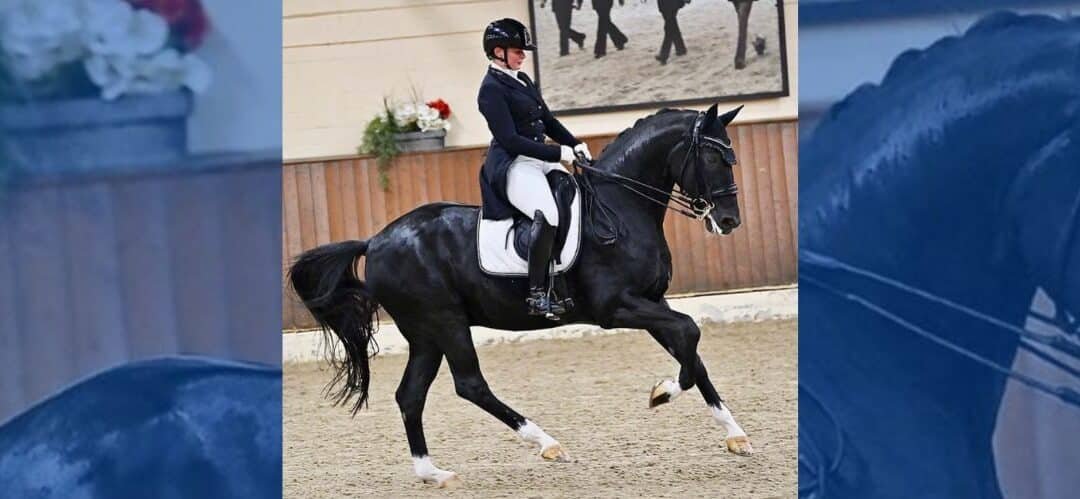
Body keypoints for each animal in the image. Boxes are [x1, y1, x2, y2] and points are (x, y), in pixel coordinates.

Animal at [289, 103, 752, 487]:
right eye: (714, 157)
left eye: (731, 156)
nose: (729, 221)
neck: (621, 209)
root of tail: (374, 242)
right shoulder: (618, 307)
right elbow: (690, 335)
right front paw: (662, 393)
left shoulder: (653, 302)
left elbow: (691, 349)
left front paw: (737, 436)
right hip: (444, 321)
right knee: (470, 384)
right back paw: (547, 443)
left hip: (425, 333)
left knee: (411, 395)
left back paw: (433, 473)